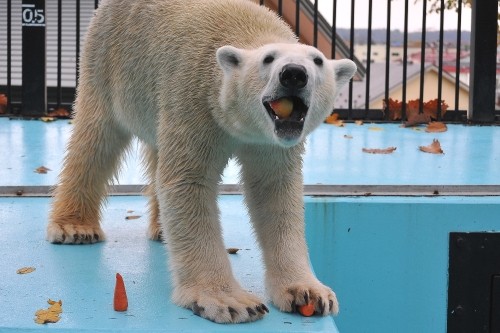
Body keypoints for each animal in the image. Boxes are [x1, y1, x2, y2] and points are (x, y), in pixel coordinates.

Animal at [47, 0, 356, 324]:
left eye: (317, 61)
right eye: (268, 59)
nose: (294, 74)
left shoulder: (271, 143)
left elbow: (275, 193)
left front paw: (308, 293)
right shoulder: (196, 101)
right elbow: (188, 183)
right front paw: (230, 301)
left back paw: (160, 229)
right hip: (107, 60)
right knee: (96, 139)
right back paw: (75, 227)